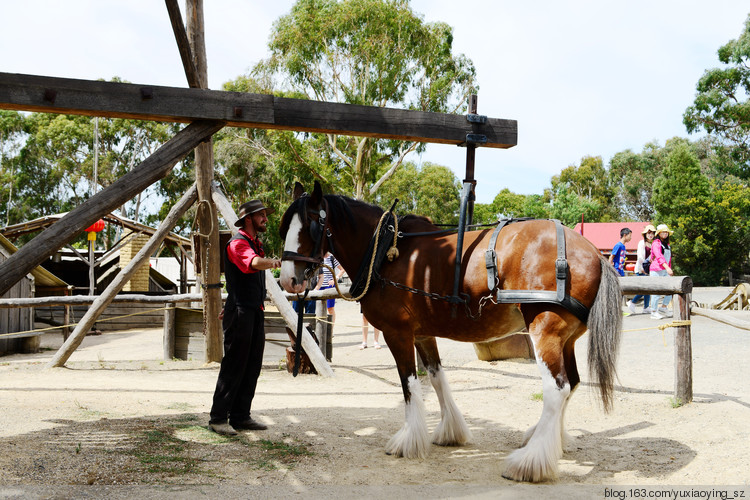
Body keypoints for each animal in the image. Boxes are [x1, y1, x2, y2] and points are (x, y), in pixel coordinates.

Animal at [282, 182, 624, 482]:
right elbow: (436, 378)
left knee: (557, 389)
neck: (384, 252)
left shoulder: (398, 333)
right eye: (284, 225)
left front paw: (409, 440)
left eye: (311, 226)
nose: (288, 280)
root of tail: (594, 253)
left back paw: (531, 462)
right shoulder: (422, 334)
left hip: (545, 332)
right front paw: (451, 431)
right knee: (573, 383)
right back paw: (551, 442)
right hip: (565, 339)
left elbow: (409, 385)